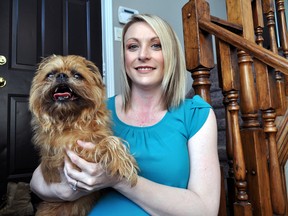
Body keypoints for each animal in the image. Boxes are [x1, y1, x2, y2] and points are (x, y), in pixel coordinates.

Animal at [29, 55, 138, 216]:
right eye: (50, 74)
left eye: (77, 75)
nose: (61, 75)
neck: (72, 120)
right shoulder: (71, 154)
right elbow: (106, 143)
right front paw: (123, 163)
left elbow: (107, 140)